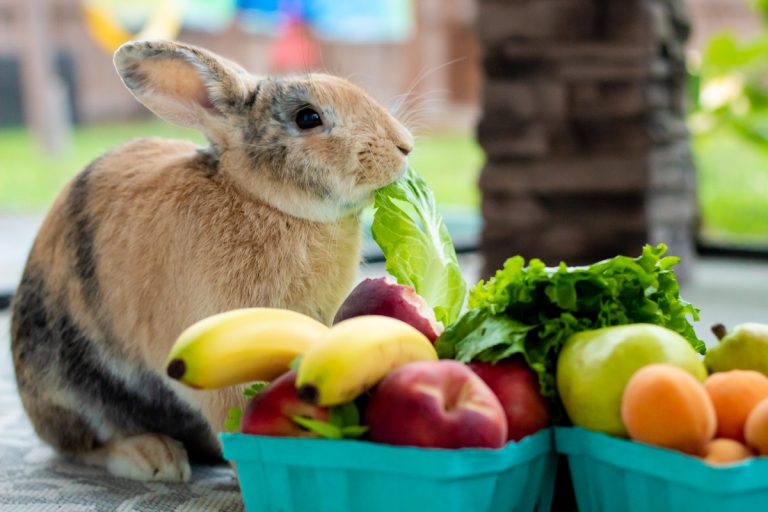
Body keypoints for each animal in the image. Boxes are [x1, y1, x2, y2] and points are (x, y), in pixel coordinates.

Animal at [10, 40, 413, 482]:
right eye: (308, 117)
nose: (404, 146)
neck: (261, 200)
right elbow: (231, 413)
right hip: (68, 385)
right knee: (81, 445)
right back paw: (153, 457)